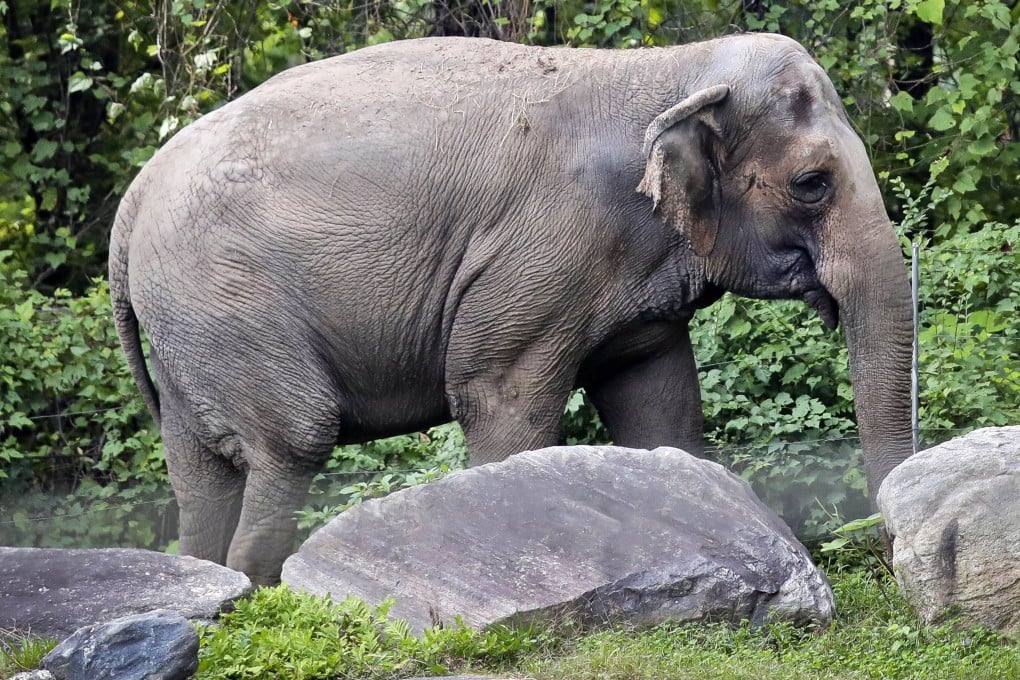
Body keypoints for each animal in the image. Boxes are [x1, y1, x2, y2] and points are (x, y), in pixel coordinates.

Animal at [109, 33, 913, 585]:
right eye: (812, 183)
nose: (884, 549)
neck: (669, 69)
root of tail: (134, 199)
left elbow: (662, 412)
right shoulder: (541, 255)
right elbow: (500, 398)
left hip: (188, 327)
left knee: (199, 473)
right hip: (227, 300)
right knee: (293, 441)